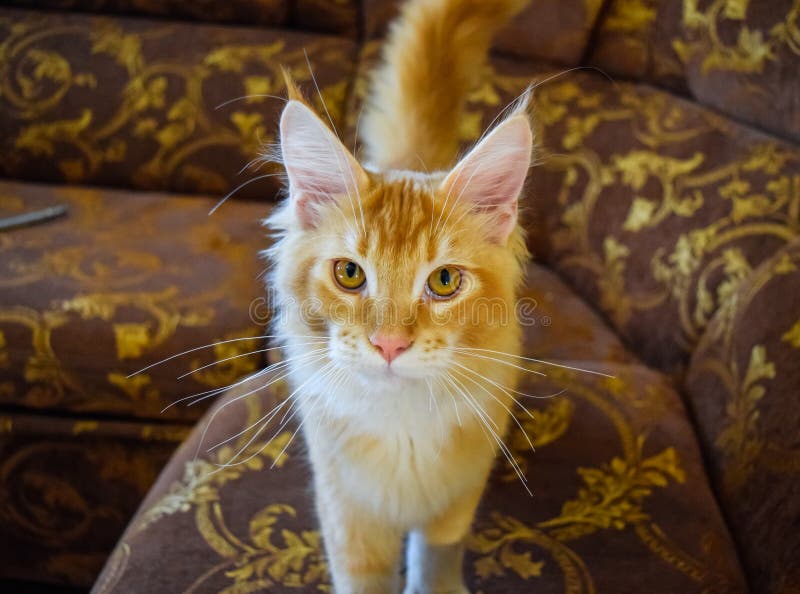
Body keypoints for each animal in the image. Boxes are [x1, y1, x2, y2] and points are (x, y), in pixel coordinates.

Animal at [266, 1, 536, 592]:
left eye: (444, 282)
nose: (389, 344)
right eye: (349, 274)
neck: (402, 427)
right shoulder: (347, 513)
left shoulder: (460, 492)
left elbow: (437, 557)